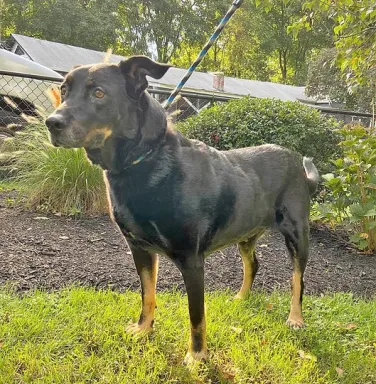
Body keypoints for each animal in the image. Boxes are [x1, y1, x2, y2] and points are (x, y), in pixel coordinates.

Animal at [45, 55, 318, 364]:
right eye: (64, 90)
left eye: (99, 93)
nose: (51, 123)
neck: (144, 161)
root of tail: (296, 162)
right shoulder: (140, 249)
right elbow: (147, 295)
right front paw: (143, 329)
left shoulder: (191, 259)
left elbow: (196, 315)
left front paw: (196, 357)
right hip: (246, 234)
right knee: (253, 264)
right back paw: (241, 297)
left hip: (297, 236)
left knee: (298, 281)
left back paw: (295, 318)